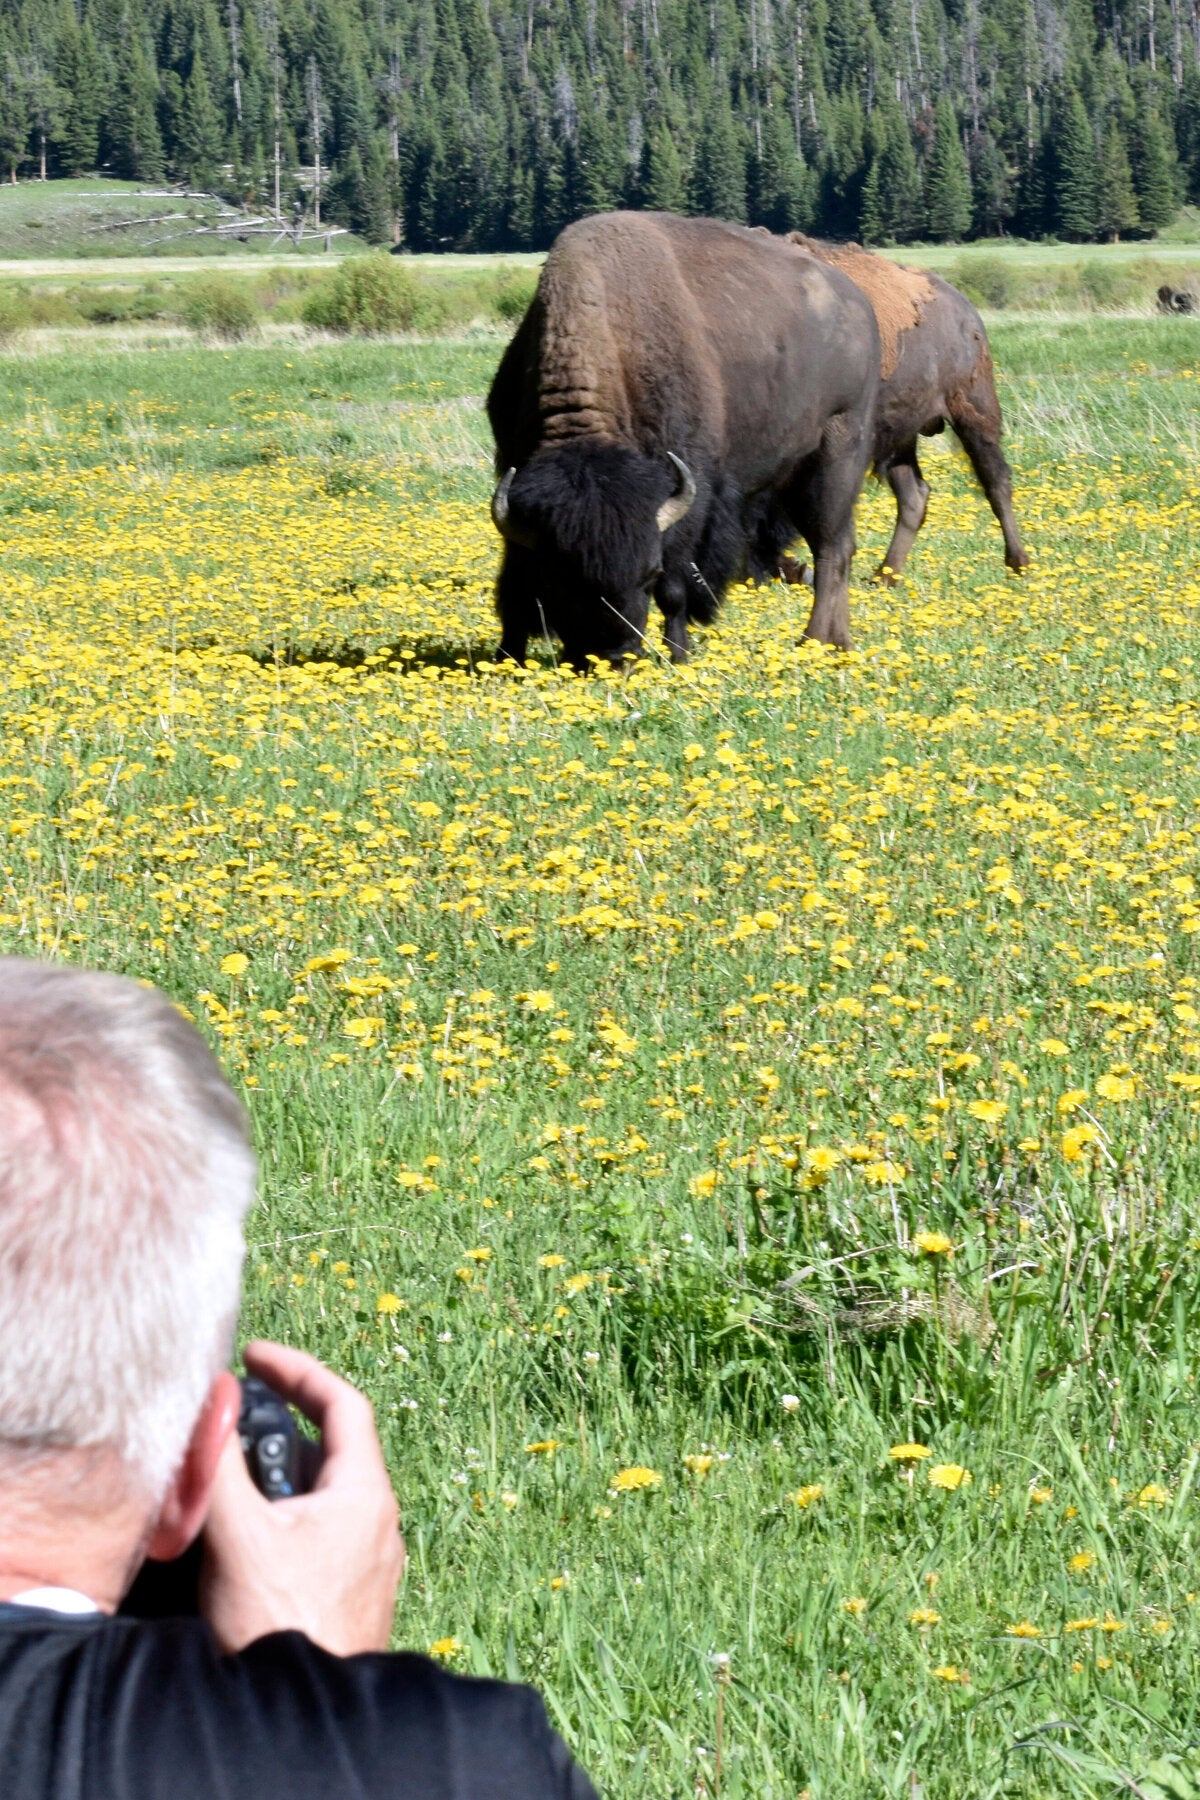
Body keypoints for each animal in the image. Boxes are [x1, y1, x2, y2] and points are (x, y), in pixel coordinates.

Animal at [486, 211, 880, 663]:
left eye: (649, 572)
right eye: (561, 580)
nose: (615, 655)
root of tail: (859, 303)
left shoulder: (687, 490)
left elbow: (675, 587)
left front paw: (679, 653)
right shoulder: (515, 481)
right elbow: (513, 582)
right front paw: (506, 657)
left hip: (837, 456)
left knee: (832, 548)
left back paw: (818, 641)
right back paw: (834, 640)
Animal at [766, 236, 1028, 583]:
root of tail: (966, 312)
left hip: (973, 412)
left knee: (996, 481)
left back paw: (1018, 563)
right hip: (899, 436)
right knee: (915, 495)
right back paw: (885, 575)